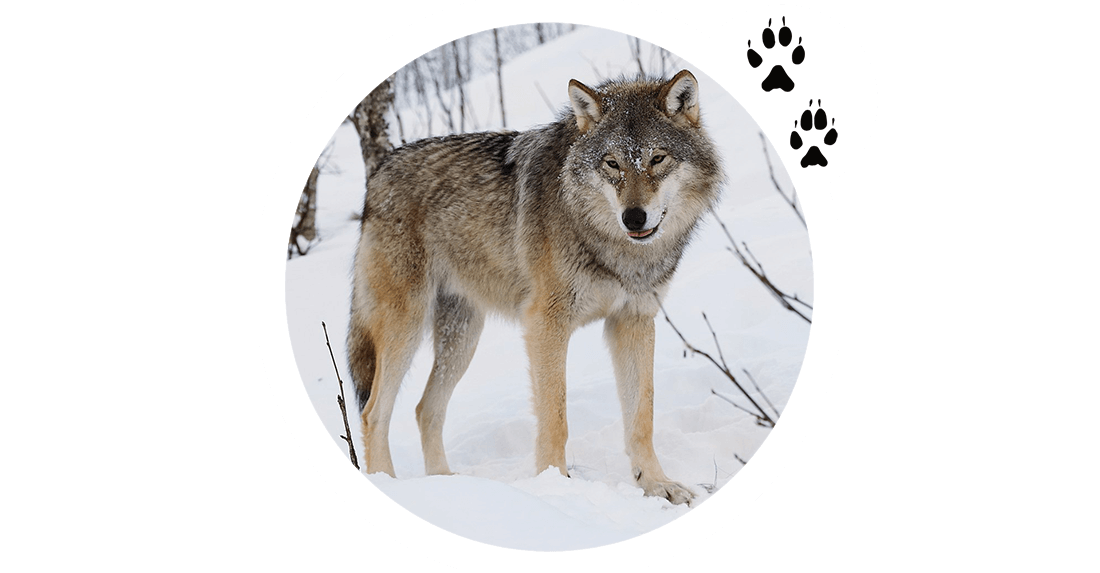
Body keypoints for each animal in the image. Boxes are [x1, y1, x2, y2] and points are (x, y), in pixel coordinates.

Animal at [347, 70, 723, 505]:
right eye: (612, 164)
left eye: (657, 159)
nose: (633, 217)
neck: (613, 246)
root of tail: (379, 171)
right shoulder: (546, 324)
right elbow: (555, 417)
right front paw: (556, 488)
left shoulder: (633, 321)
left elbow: (641, 417)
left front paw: (656, 485)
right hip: (405, 328)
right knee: (374, 412)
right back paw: (389, 486)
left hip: (462, 338)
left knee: (426, 409)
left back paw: (448, 485)